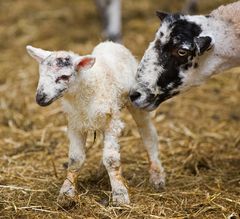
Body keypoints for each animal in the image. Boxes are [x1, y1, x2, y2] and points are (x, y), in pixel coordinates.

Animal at [25, 42, 165, 207]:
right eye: (41, 73)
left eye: (64, 76)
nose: (40, 98)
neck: (85, 90)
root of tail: (111, 43)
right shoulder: (75, 124)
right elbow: (75, 160)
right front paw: (66, 193)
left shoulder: (111, 123)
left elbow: (111, 159)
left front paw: (120, 194)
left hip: (137, 102)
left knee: (148, 133)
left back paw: (156, 176)